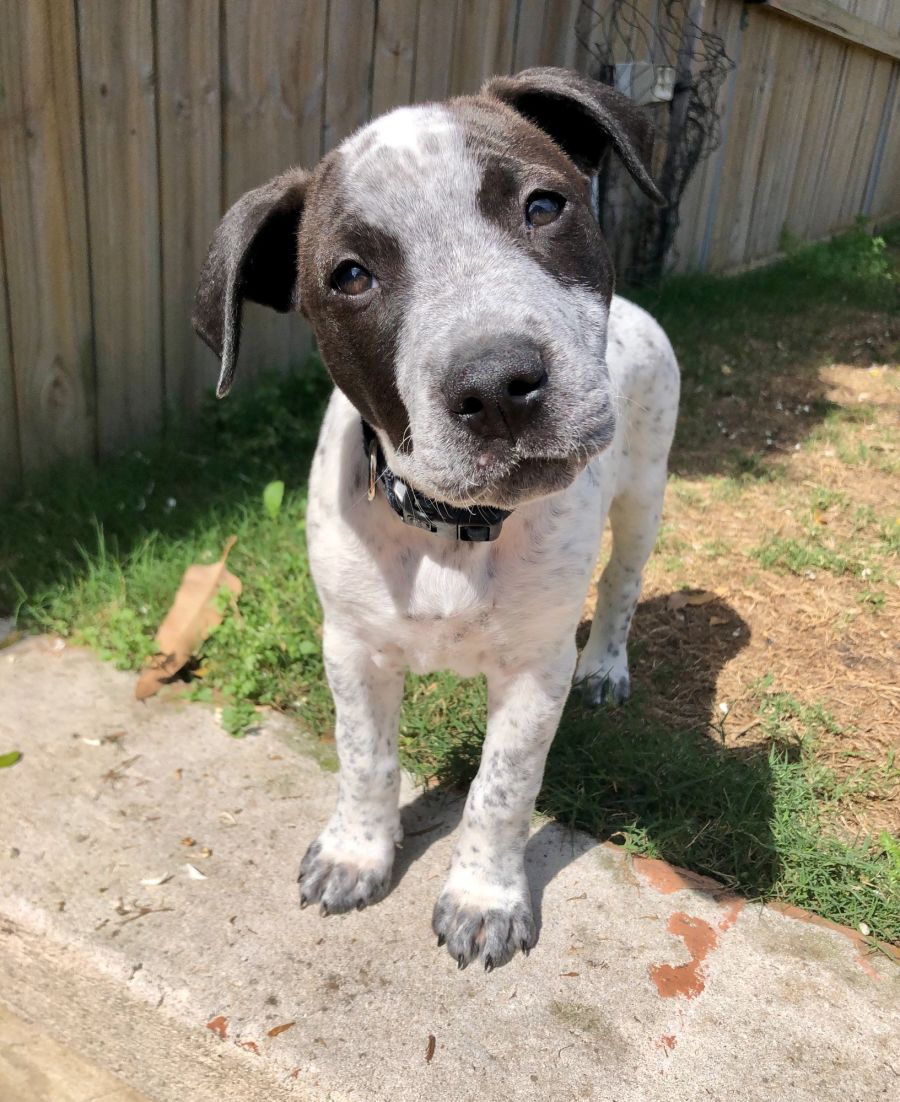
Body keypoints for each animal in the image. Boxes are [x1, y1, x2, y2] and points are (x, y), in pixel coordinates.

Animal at [194, 67, 679, 971]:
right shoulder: (351, 649)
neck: (453, 524)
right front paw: (357, 853)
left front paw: (483, 897)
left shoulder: (534, 673)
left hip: (645, 494)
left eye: (543, 206)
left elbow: (501, 790)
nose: (498, 385)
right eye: (350, 276)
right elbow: (366, 761)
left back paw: (606, 666)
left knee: (623, 586)